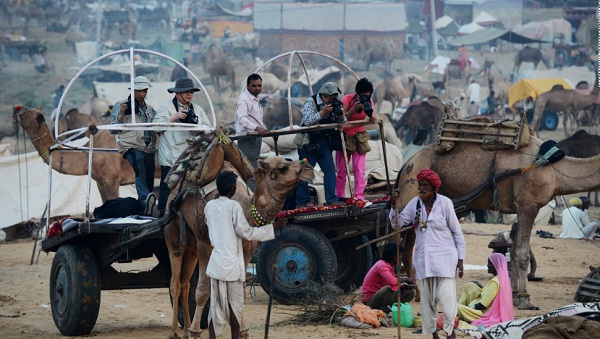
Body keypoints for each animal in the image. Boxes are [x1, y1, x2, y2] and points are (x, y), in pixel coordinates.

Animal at [164, 139, 314, 338]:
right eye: (283, 167)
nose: (309, 169)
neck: (244, 209)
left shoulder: (247, 250)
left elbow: (240, 294)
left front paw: (243, 331)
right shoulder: (205, 246)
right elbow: (203, 291)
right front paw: (195, 331)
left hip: (191, 244)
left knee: (185, 283)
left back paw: (186, 325)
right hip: (173, 233)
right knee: (175, 282)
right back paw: (175, 331)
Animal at [396, 136, 600, 310]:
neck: (554, 171)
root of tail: (407, 163)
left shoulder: (519, 207)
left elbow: (514, 250)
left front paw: (515, 297)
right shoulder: (528, 204)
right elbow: (522, 254)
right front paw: (525, 300)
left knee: (405, 248)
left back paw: (416, 293)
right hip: (411, 193)